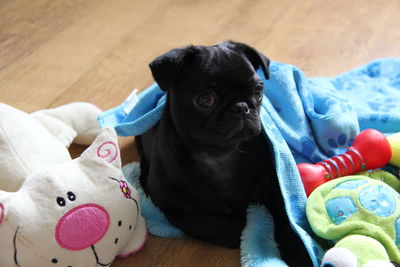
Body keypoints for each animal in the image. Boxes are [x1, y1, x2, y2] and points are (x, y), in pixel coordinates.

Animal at [136, 40, 310, 266]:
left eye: (258, 92)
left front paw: (299, 251)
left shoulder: (274, 186)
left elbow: (286, 218)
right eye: (205, 100)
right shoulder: (171, 207)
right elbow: (205, 222)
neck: (218, 155)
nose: (241, 107)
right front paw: (241, 230)